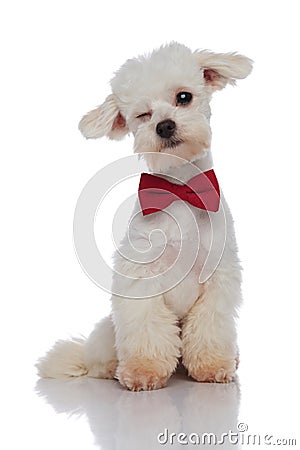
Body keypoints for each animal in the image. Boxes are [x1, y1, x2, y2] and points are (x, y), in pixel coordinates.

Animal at [38, 44, 253, 392]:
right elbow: (146, 327)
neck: (180, 189)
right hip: (109, 332)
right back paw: (112, 368)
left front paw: (213, 366)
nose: (164, 125)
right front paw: (143, 370)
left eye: (183, 97)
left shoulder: (218, 277)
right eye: (142, 115)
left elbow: (210, 326)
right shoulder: (141, 278)